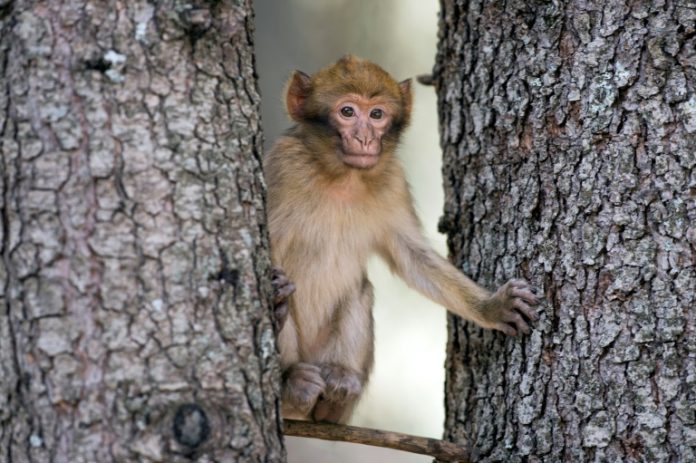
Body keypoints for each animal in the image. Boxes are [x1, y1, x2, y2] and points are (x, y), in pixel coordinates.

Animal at [265, 55, 539, 424]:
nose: (366, 138)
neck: (342, 177)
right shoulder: (283, 167)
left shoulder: (391, 180)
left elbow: (413, 258)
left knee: (359, 291)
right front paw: (274, 301)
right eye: (347, 112)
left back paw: (337, 390)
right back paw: (291, 381)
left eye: (376, 114)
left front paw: (492, 307)